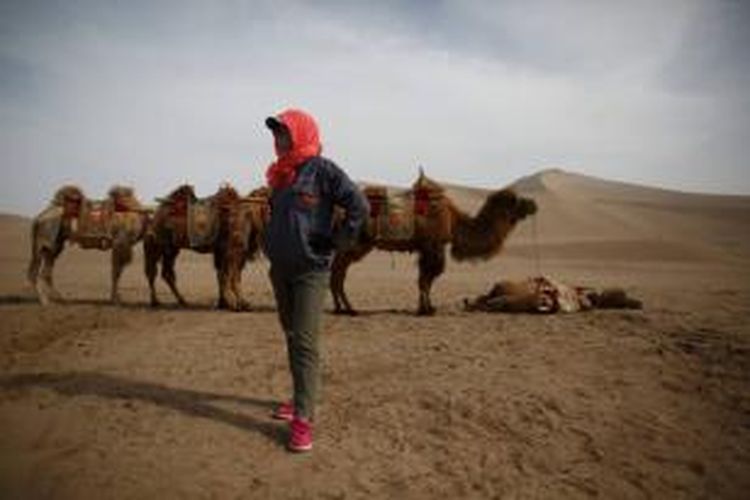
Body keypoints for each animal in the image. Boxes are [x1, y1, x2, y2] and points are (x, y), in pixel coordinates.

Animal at [144, 182, 268, 310]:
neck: (248, 215)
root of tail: (154, 217)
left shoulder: (221, 250)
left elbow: (222, 274)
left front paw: (223, 303)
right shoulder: (234, 249)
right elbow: (232, 275)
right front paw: (239, 304)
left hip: (171, 249)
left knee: (166, 273)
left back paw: (182, 301)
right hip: (157, 245)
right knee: (152, 271)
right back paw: (156, 301)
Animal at [332, 170, 536, 314]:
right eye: (516, 201)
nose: (533, 205)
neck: (453, 220)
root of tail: (337, 208)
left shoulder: (427, 248)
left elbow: (424, 279)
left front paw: (425, 307)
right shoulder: (434, 246)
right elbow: (428, 278)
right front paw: (427, 310)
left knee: (337, 271)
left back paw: (342, 308)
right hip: (355, 244)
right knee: (338, 272)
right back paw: (347, 309)